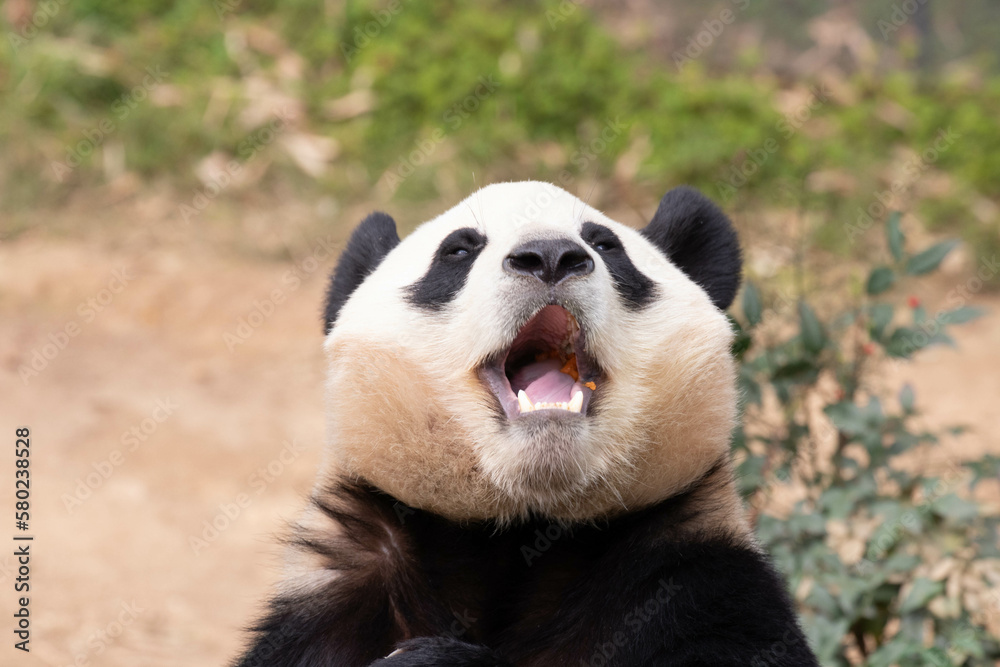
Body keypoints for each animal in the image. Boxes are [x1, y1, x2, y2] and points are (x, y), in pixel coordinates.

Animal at [234, 182, 819, 666]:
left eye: (605, 244)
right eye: (459, 249)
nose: (551, 257)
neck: (521, 528)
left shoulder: (699, 583)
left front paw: (437, 661)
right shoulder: (333, 605)